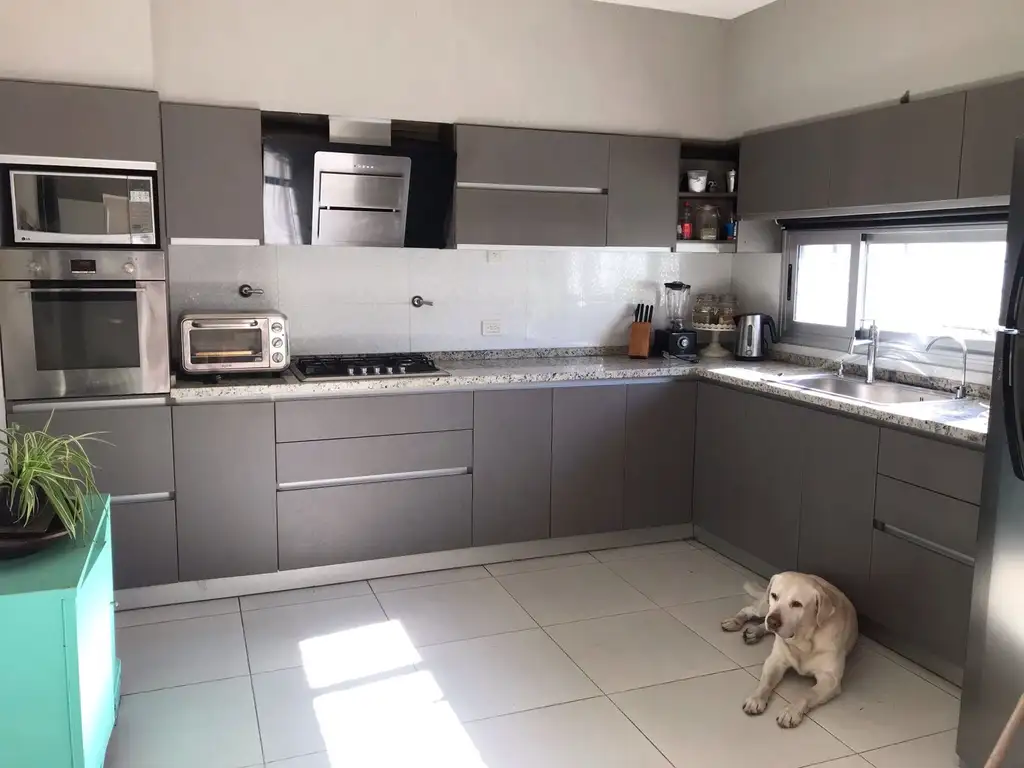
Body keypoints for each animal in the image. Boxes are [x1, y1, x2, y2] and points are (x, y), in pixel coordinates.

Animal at [721, 572, 858, 728]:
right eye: (774, 595)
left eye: (797, 604)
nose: (773, 622)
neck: (802, 641)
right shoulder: (775, 661)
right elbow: (766, 682)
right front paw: (756, 699)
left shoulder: (830, 679)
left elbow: (807, 694)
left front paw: (790, 712)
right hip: (765, 608)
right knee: (749, 610)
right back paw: (736, 621)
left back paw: (756, 631)